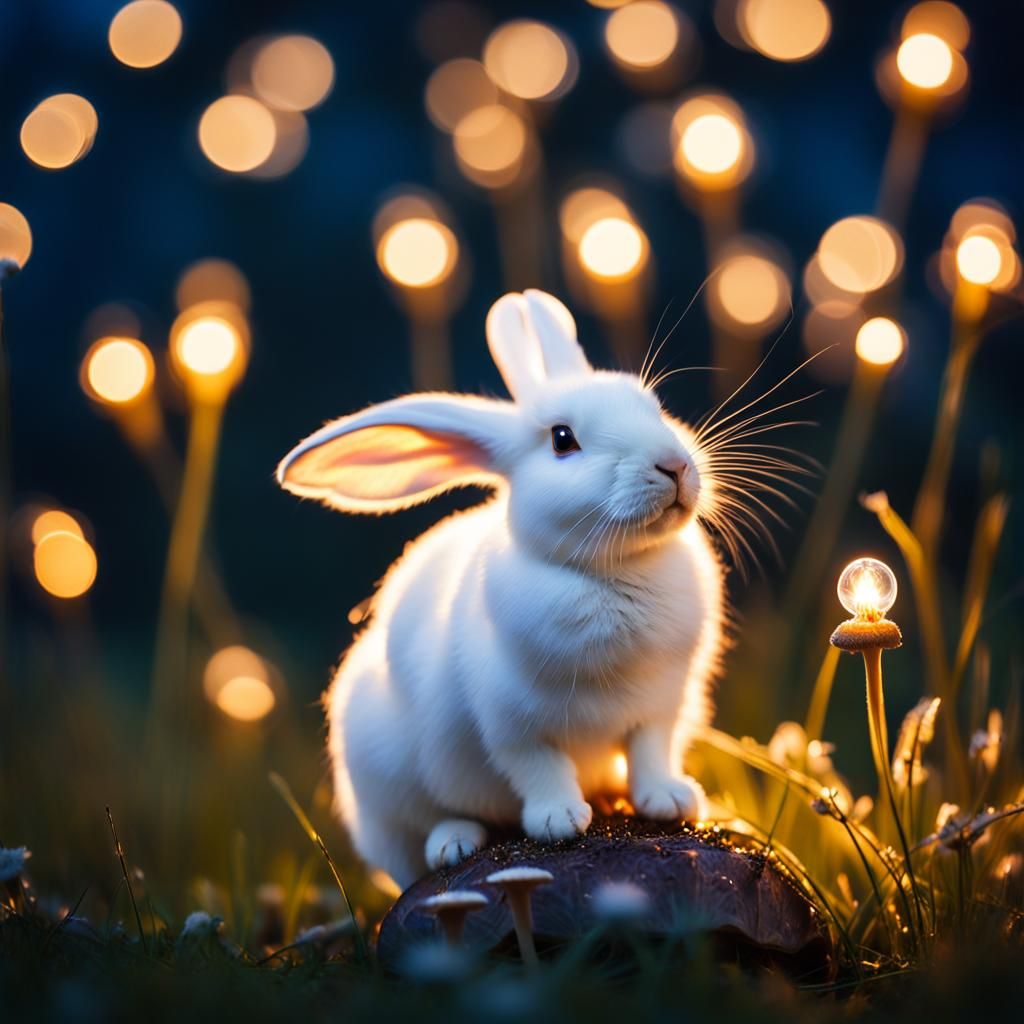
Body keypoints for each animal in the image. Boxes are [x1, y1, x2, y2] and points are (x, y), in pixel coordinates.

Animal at [278, 290, 725, 889]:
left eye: (654, 408)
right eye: (563, 439)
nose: (673, 465)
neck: (614, 572)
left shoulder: (661, 705)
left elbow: (651, 752)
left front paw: (670, 801)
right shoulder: (513, 722)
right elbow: (540, 769)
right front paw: (560, 821)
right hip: (381, 783)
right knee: (416, 841)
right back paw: (454, 844)